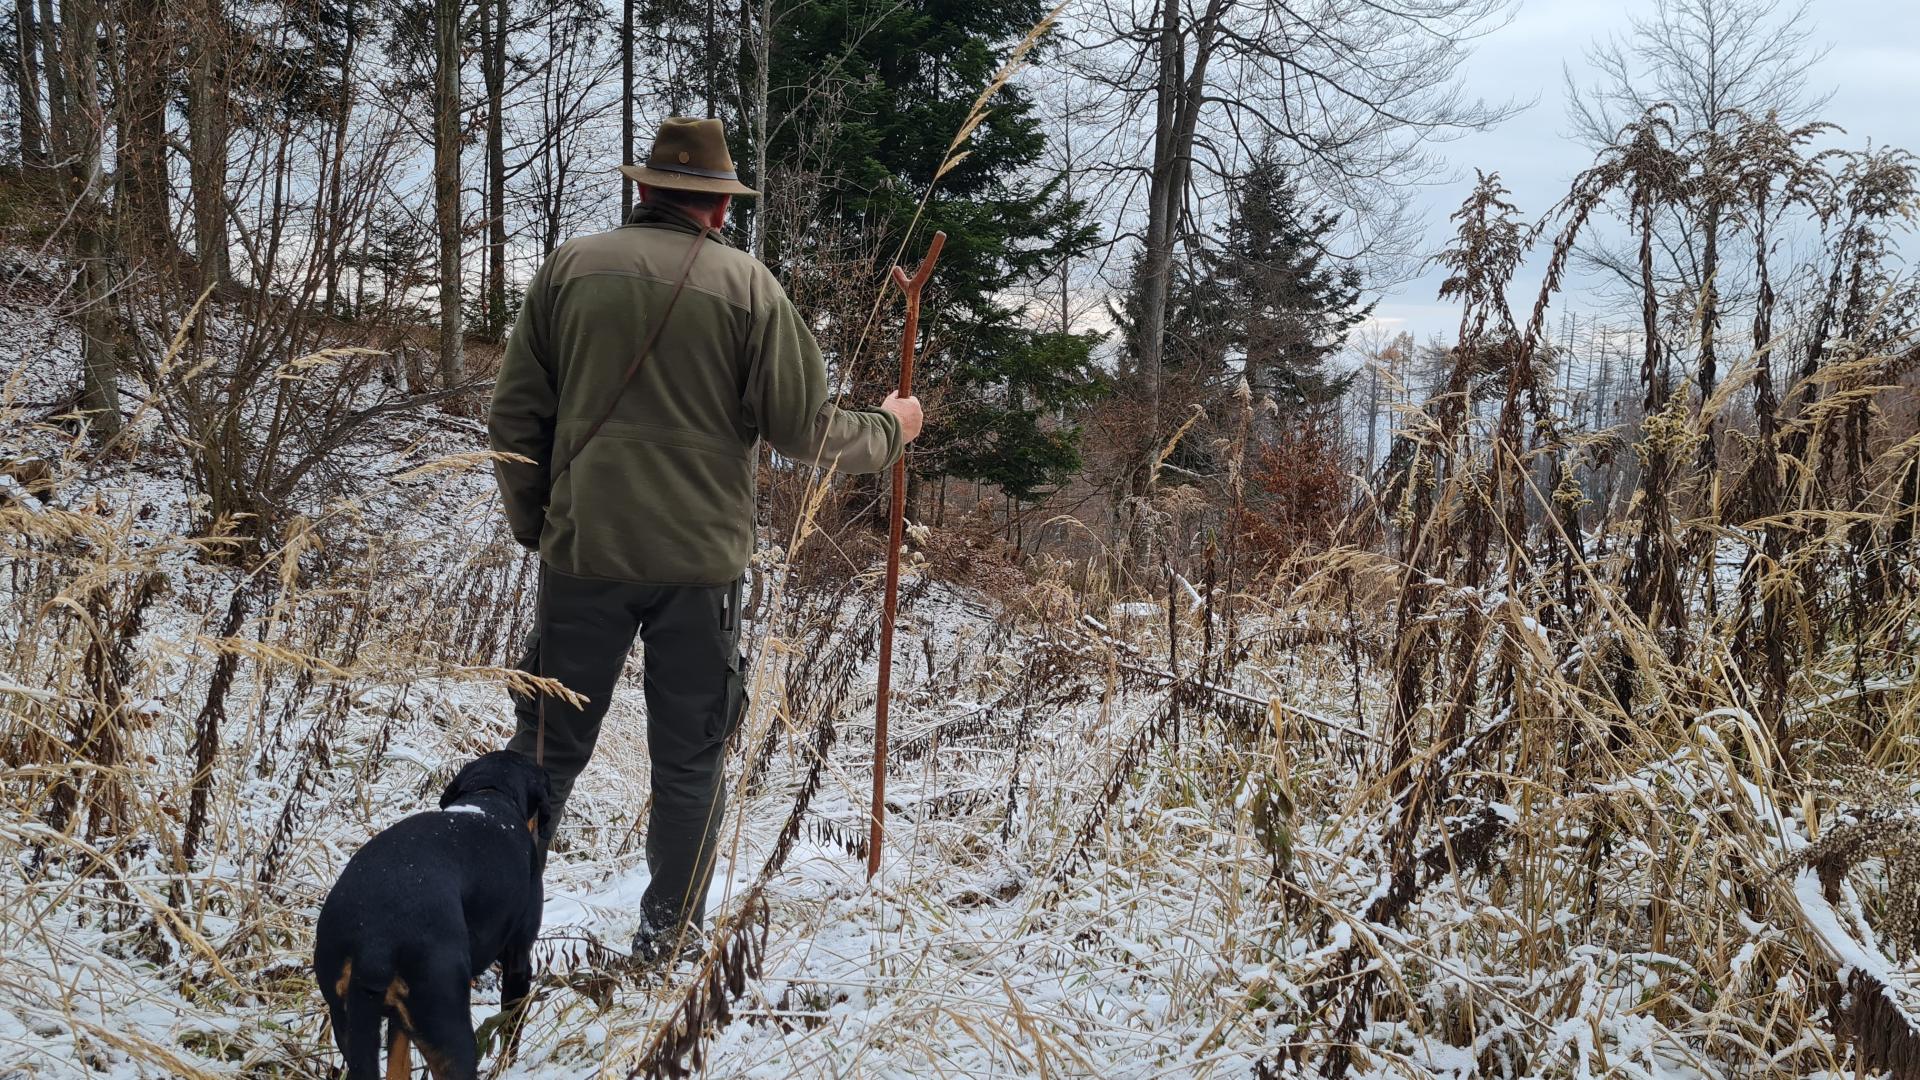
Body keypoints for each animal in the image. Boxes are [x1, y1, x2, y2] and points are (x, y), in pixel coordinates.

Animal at [309, 749, 545, 1076]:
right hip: (450, 1031)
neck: (491, 795)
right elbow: (511, 1033)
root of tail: (375, 941)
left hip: (348, 1022)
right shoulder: (518, 963)